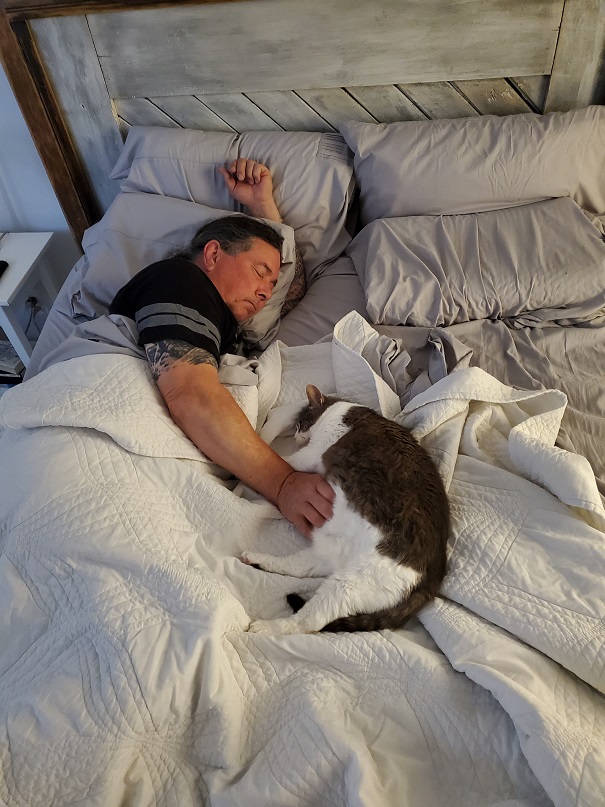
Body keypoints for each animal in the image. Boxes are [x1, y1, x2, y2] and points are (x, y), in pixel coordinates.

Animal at [241, 386, 448, 636]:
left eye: (301, 424)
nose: (296, 437)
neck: (339, 408)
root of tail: (432, 581)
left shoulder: (312, 453)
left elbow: (277, 456)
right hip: (330, 558)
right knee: (298, 568)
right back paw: (256, 560)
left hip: (350, 584)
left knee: (309, 621)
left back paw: (265, 627)